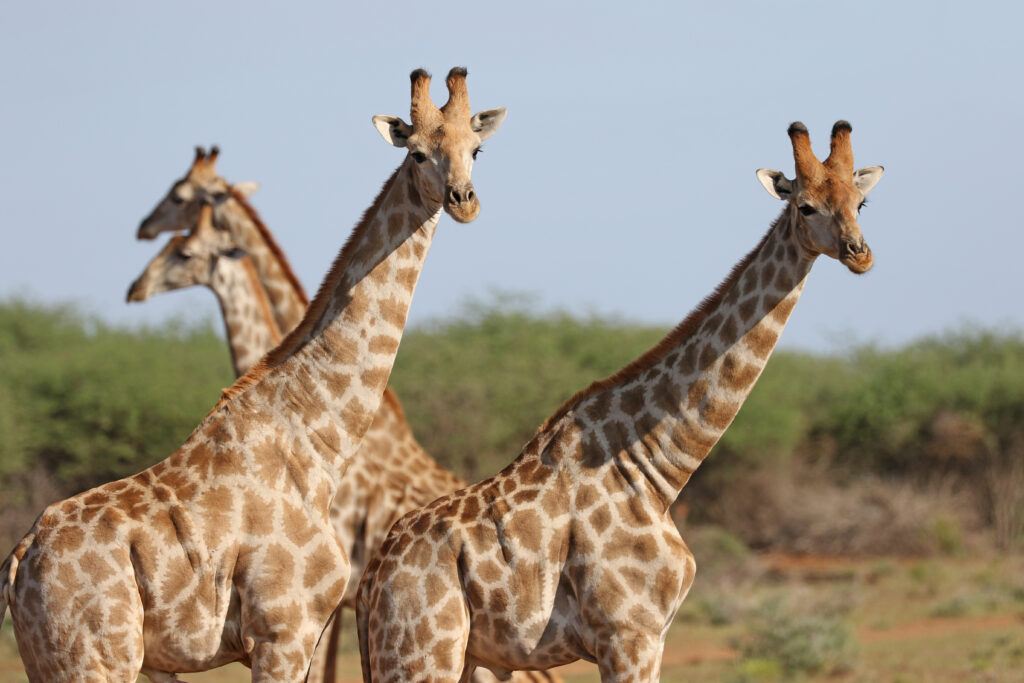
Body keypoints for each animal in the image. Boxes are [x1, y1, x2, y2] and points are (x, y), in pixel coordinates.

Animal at [357, 121, 885, 682]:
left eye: (859, 202)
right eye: (805, 206)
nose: (859, 252)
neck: (656, 468)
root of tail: (369, 585)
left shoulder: (648, 637)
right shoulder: (629, 634)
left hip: (460, 659)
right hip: (421, 654)